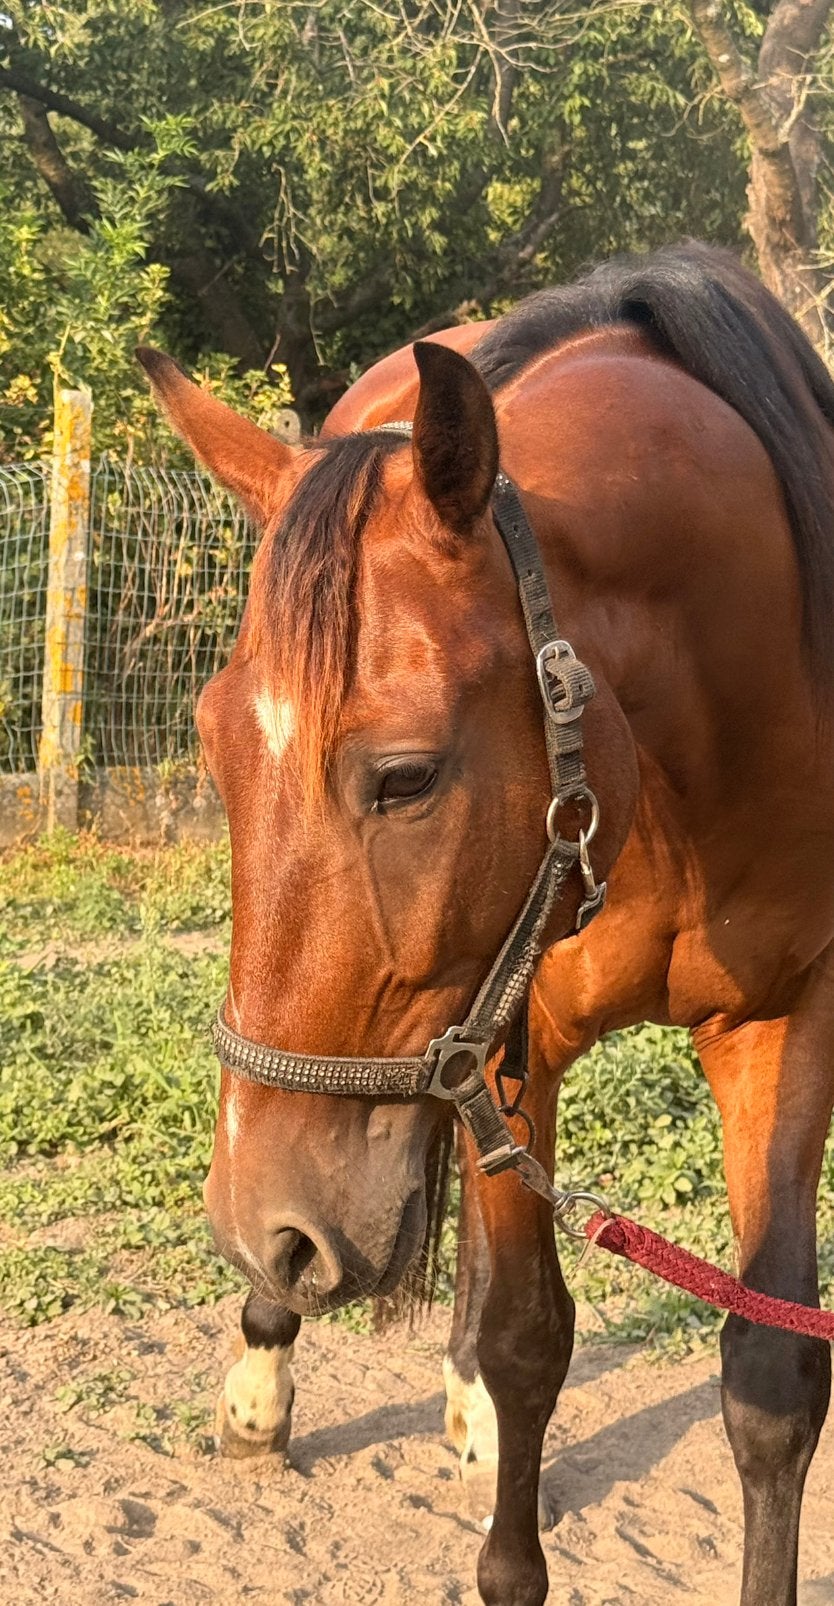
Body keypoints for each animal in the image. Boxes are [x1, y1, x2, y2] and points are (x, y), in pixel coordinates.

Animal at [138, 241, 834, 1606]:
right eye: (211, 748)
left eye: (406, 776)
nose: (261, 1225)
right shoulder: (517, 1040)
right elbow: (527, 1340)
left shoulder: (787, 1022)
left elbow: (773, 1377)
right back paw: (267, 1387)